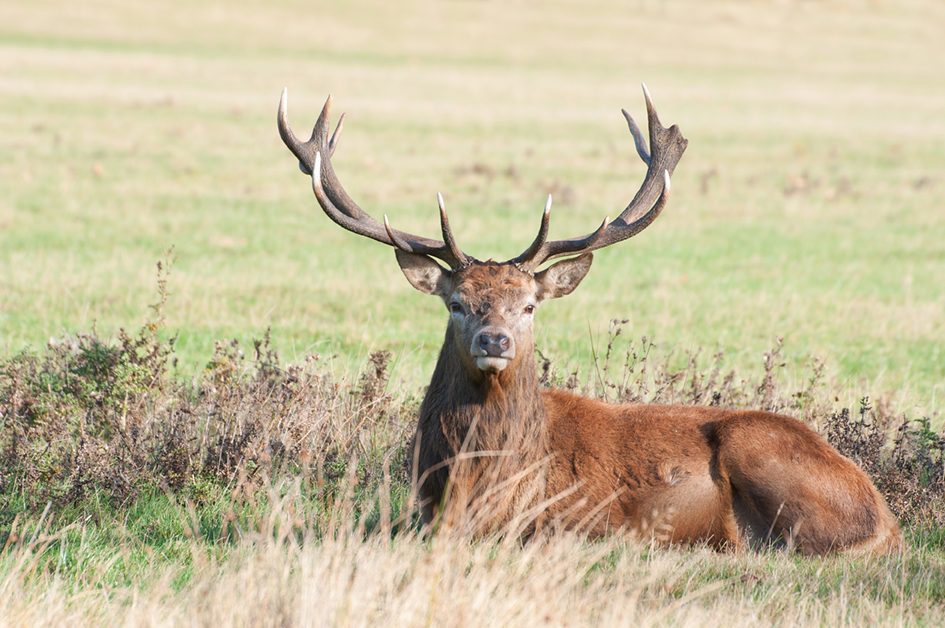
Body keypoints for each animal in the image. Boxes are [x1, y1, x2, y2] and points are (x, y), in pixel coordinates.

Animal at [276, 86, 902, 555]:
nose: (494, 340)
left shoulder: (553, 520)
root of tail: (887, 518)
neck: (475, 482)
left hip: (760, 448)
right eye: (456, 303)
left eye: (529, 305)